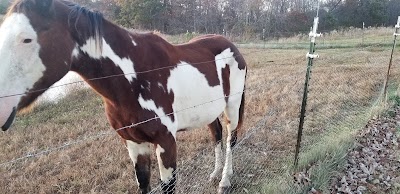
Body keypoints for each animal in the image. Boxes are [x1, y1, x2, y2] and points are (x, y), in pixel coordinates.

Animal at [0, 0, 247, 193]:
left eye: (26, 39)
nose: (2, 109)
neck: (133, 77)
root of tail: (232, 47)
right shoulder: (134, 143)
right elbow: (144, 184)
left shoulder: (166, 142)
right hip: (209, 110)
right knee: (216, 134)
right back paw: (215, 174)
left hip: (232, 106)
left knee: (230, 137)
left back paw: (225, 180)